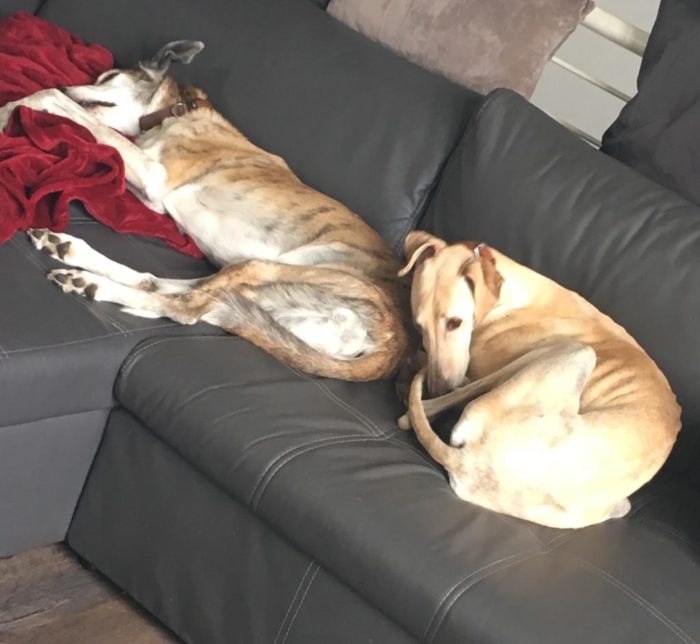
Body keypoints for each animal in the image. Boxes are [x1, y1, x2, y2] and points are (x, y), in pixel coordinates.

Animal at [0, 40, 410, 381]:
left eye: (109, 77)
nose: (70, 83)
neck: (175, 112)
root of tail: (394, 344)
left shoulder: (154, 177)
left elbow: (56, 101)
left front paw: (13, 108)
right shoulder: (148, 192)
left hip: (272, 270)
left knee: (182, 307)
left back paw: (91, 281)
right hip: (254, 298)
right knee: (166, 289)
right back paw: (70, 253)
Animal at [396, 231, 681, 528]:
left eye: (455, 322)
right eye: (418, 326)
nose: (435, 388)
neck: (504, 296)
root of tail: (468, 460)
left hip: (572, 351)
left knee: (433, 406)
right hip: (616, 505)